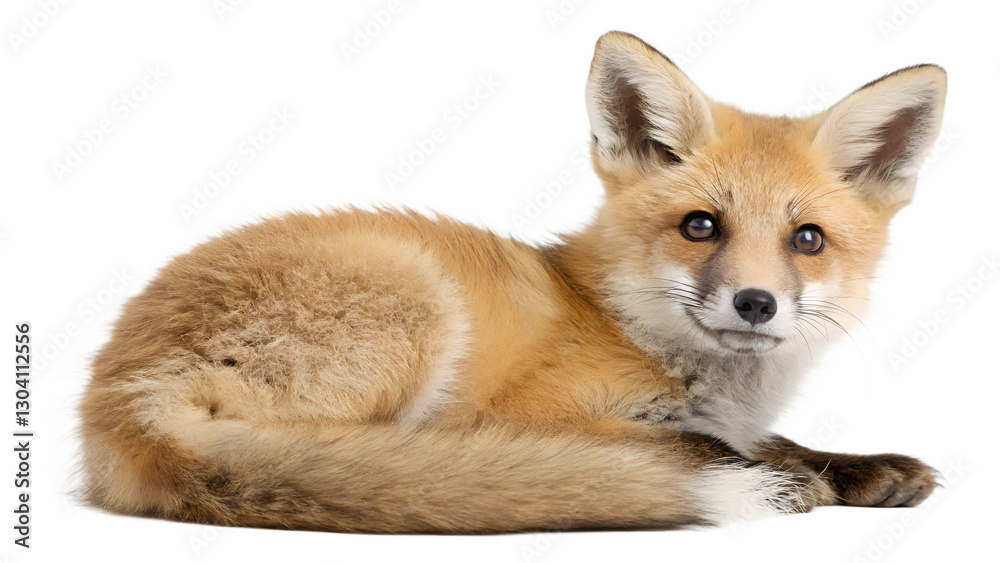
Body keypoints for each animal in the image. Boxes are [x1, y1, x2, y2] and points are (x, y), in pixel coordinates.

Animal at [79, 31, 947, 533]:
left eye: (808, 240)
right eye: (701, 225)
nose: (756, 303)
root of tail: (118, 397)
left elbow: (766, 439)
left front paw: (860, 466)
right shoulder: (536, 409)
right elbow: (708, 444)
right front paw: (789, 476)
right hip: (418, 305)